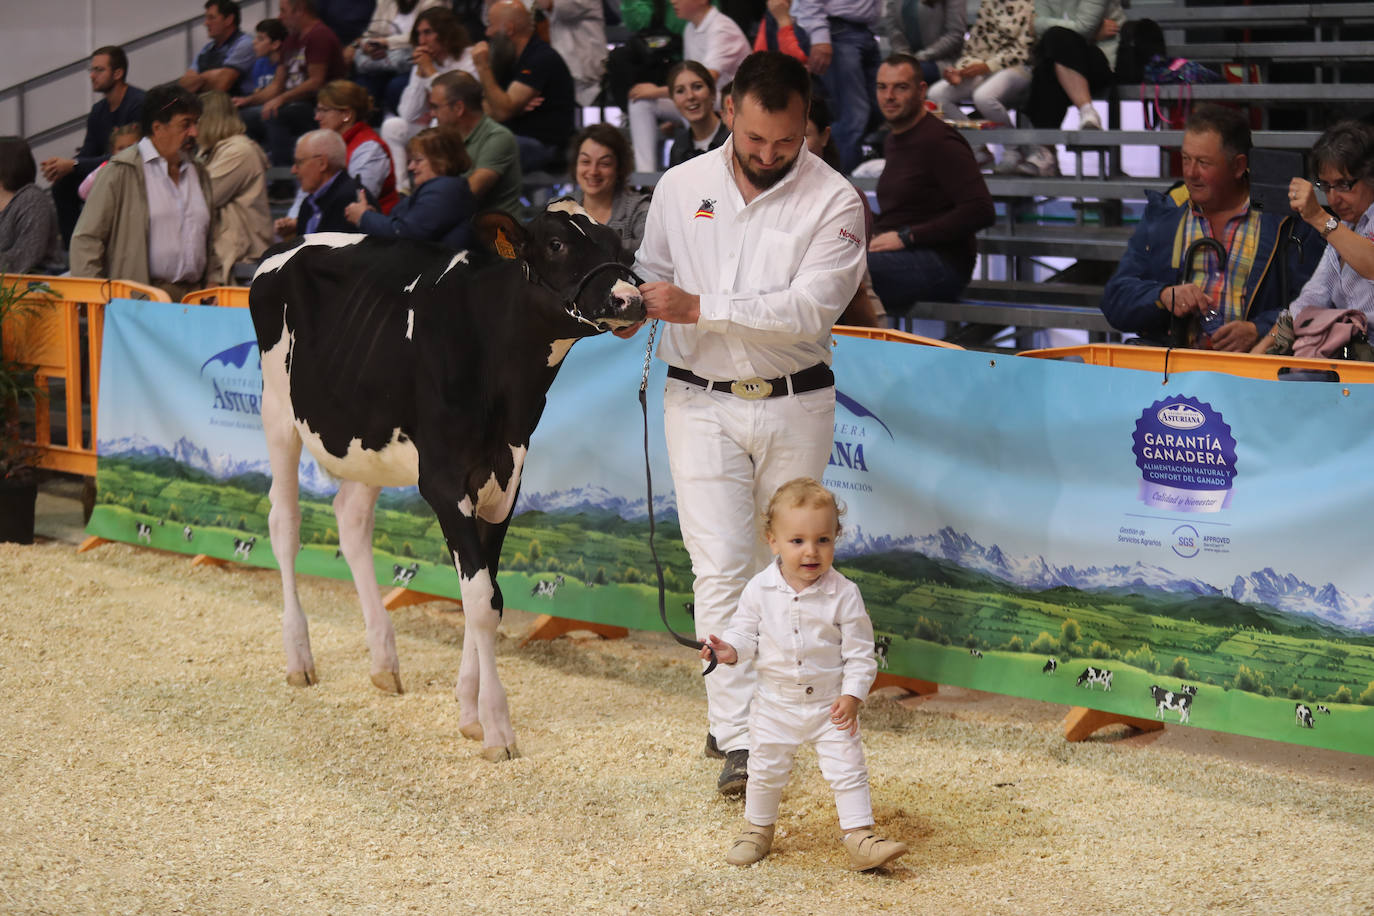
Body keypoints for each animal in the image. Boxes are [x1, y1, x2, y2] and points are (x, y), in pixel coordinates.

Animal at [251, 204, 643, 763]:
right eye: (556, 245)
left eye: (619, 247)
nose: (631, 298)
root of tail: (289, 243)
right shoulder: (442, 481)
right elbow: (479, 601)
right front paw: (498, 729)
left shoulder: (505, 481)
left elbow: (490, 596)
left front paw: (469, 714)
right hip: (278, 411)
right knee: (284, 523)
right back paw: (300, 659)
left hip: (368, 439)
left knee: (351, 520)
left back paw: (384, 663)